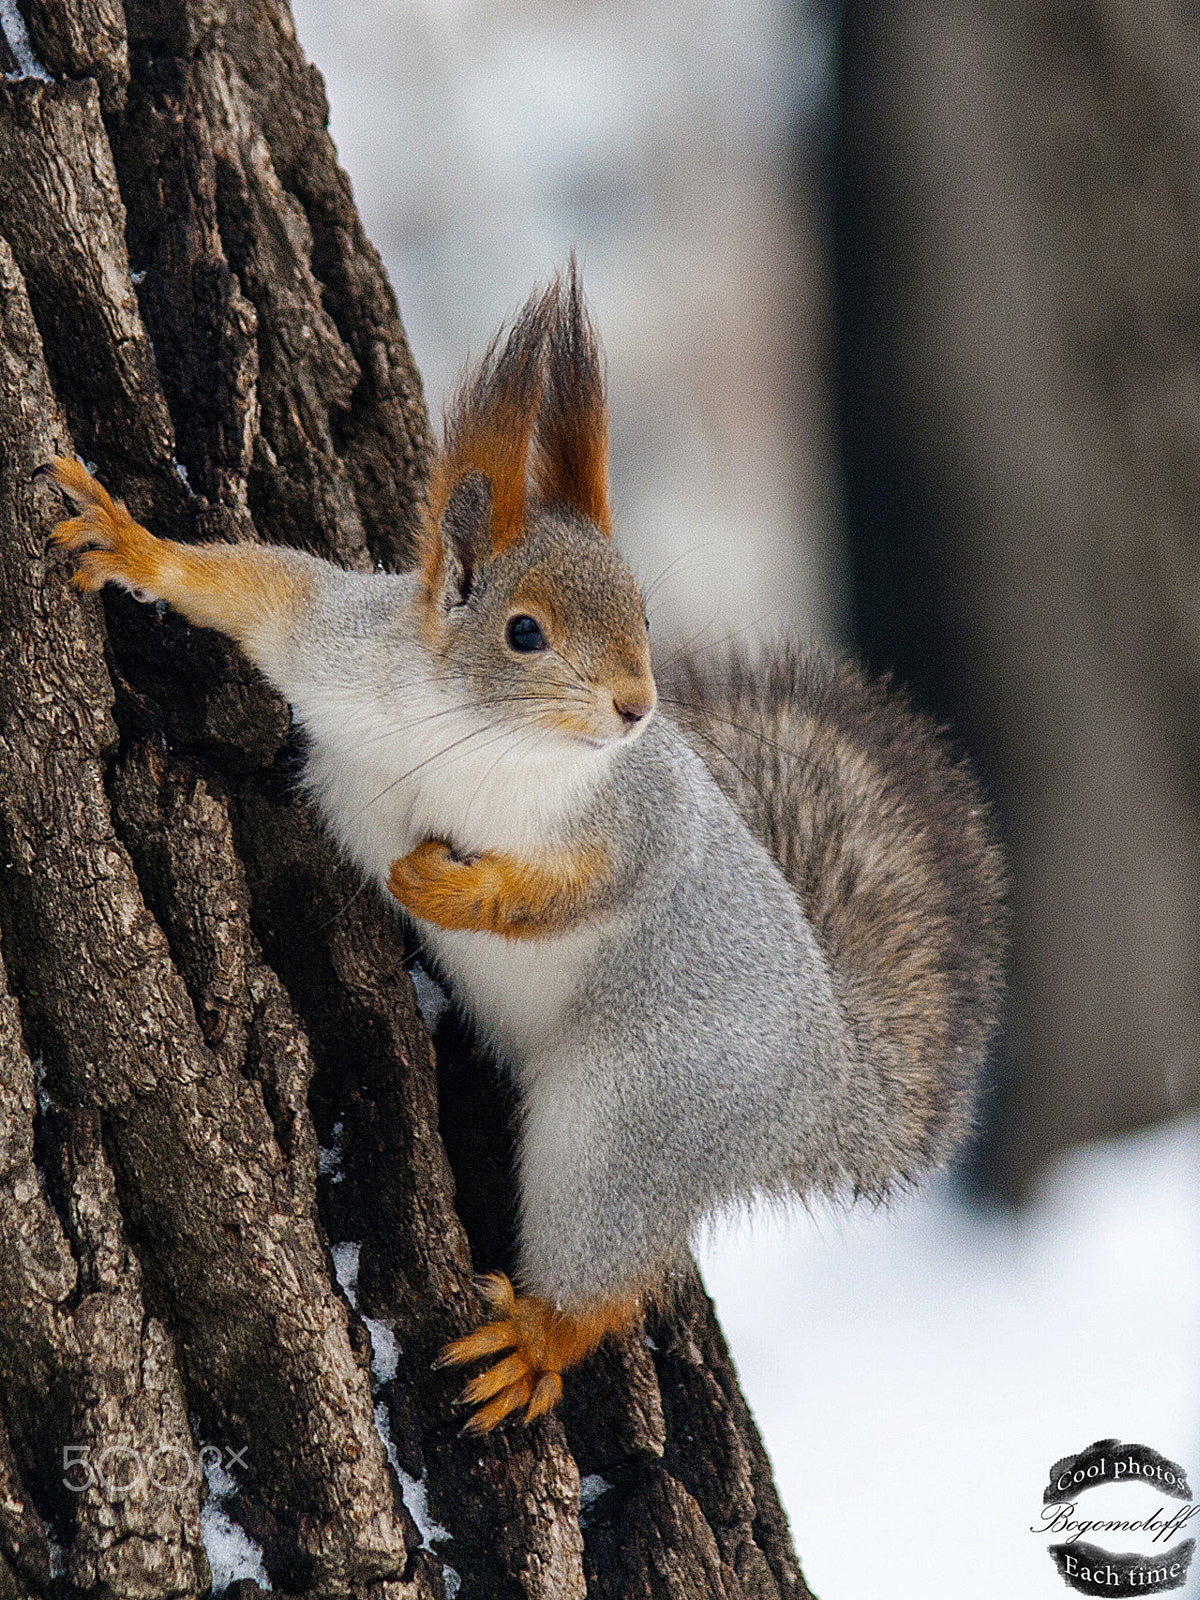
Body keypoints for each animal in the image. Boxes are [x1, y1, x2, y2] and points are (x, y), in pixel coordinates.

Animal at [47, 264, 1005, 1433]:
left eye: (643, 614)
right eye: (524, 632)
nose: (638, 707)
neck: (480, 735)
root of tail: (831, 1089)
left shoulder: (635, 817)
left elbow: (579, 889)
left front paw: (444, 887)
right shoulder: (342, 651)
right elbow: (254, 591)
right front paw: (133, 544)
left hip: (633, 1110)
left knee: (606, 1274)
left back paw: (536, 1337)